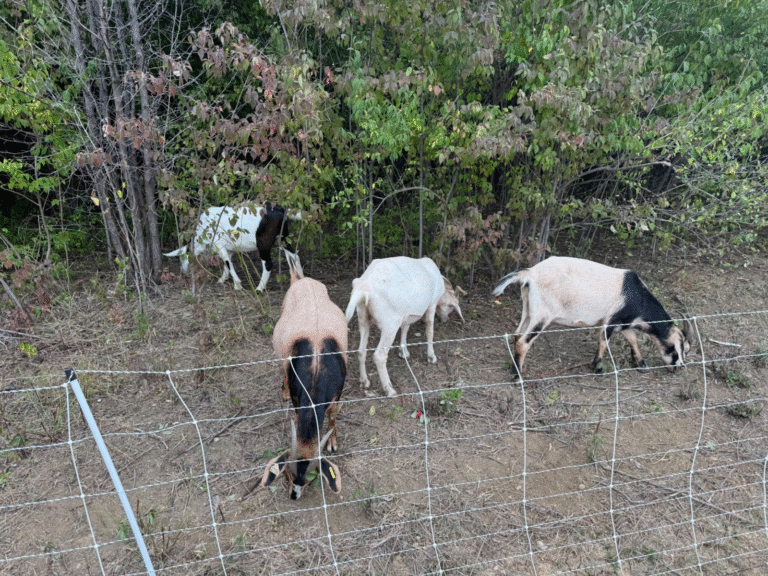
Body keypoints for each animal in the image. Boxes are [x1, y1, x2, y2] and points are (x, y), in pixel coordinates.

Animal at [164, 202, 302, 291]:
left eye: (182, 257)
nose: (183, 272)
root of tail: (282, 210)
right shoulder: (229, 248)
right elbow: (227, 262)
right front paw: (222, 279)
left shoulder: (219, 245)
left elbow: (227, 262)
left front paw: (237, 285)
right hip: (283, 238)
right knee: (294, 255)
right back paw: (301, 279)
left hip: (263, 243)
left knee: (268, 264)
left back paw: (259, 288)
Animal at [261, 251, 348, 499]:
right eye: (288, 476)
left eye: (310, 479)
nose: (294, 495)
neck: (317, 373)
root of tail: (300, 279)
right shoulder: (297, 396)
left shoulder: (337, 392)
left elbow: (333, 414)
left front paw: (332, 441)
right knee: (281, 366)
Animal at [345, 256, 464, 397]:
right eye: (451, 307)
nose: (445, 320)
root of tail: (363, 289)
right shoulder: (432, 304)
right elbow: (429, 330)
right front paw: (431, 357)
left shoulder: (407, 314)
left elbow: (405, 329)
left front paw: (404, 352)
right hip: (390, 324)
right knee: (379, 356)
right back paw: (389, 389)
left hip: (363, 317)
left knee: (361, 351)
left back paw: (364, 382)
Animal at [492, 256, 691, 379]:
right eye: (681, 347)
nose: (680, 366)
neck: (637, 296)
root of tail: (530, 274)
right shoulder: (610, 321)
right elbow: (604, 342)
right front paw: (597, 367)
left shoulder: (623, 321)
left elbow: (632, 338)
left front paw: (640, 363)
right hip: (542, 315)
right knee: (523, 341)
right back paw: (517, 376)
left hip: (528, 309)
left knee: (517, 334)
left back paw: (514, 367)